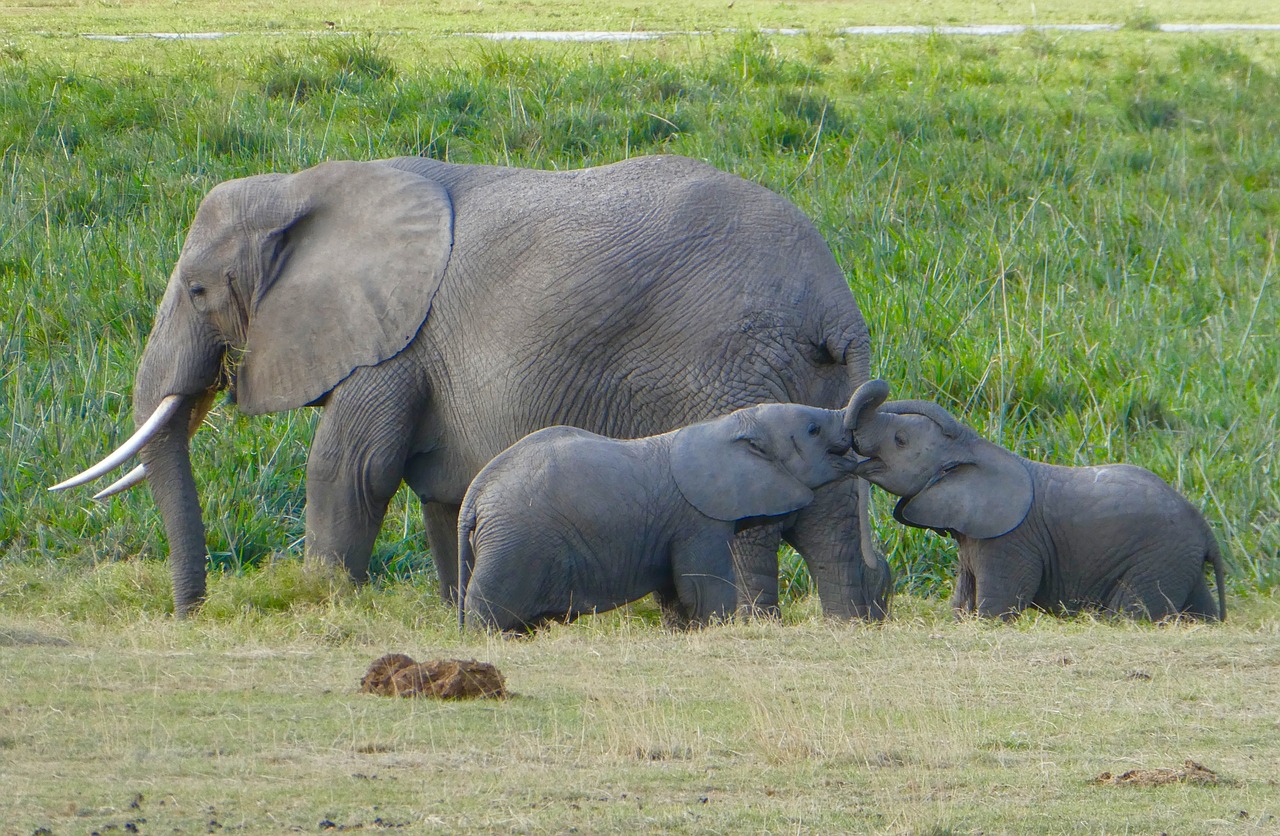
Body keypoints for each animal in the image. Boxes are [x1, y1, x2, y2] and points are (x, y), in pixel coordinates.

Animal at [458, 401, 860, 629]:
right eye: (813, 430)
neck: (728, 425)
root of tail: (473, 497)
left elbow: (676, 594)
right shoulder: (698, 521)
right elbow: (703, 588)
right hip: (512, 543)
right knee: (488, 606)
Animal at [844, 378, 1223, 619]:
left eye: (900, 440)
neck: (976, 448)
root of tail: (1207, 534)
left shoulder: (1011, 542)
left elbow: (996, 609)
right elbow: (961, 604)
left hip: (1158, 558)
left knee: (1128, 614)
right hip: (1180, 562)